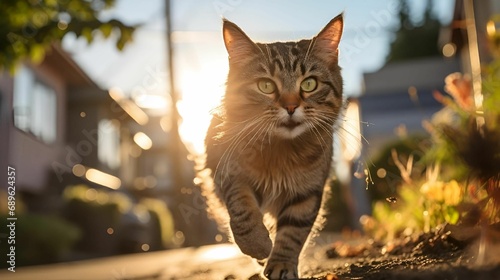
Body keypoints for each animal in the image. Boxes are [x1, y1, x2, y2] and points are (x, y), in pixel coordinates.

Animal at [202, 14, 344, 278]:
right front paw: (257, 245)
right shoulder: (232, 176)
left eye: (309, 84)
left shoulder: (306, 193)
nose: (290, 107)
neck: (281, 152)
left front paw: (281, 264)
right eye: (266, 86)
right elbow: (242, 210)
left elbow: (292, 233)